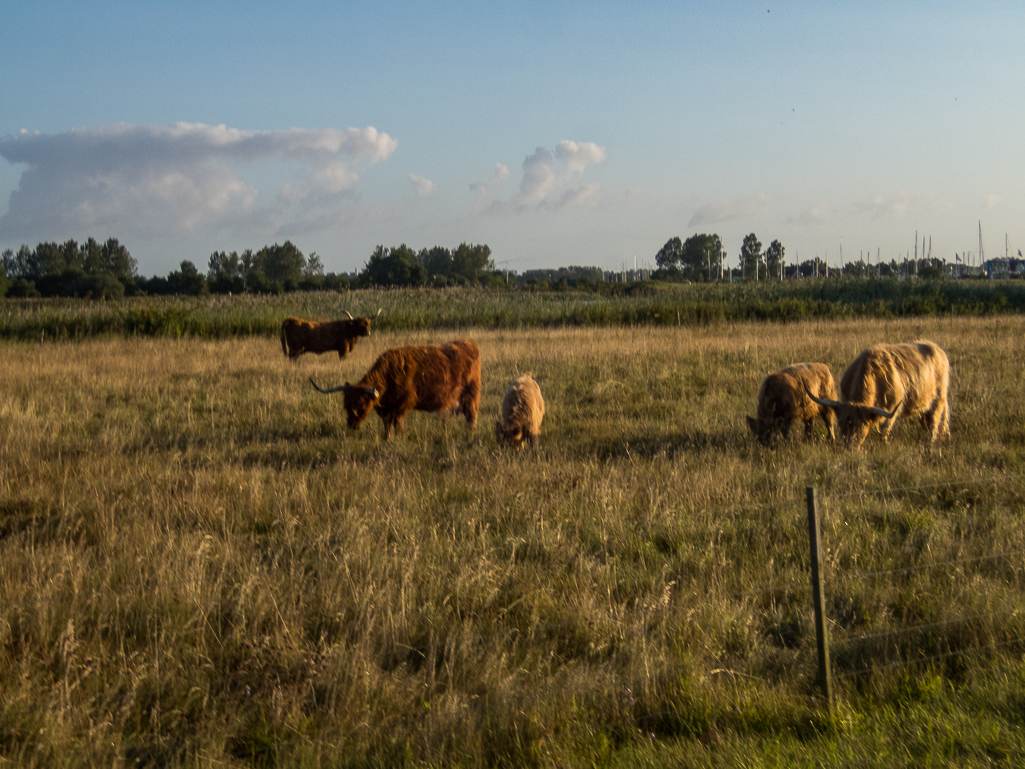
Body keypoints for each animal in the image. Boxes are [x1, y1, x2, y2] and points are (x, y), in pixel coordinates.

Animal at [307, 338, 479, 438]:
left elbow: (397, 421)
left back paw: (471, 432)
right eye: (346, 405)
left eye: (361, 404)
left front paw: (401, 436)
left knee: (472, 414)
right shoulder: (386, 408)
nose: (352, 424)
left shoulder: (406, 402)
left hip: (471, 394)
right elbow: (387, 423)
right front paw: (387, 438)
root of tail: (469, 343)